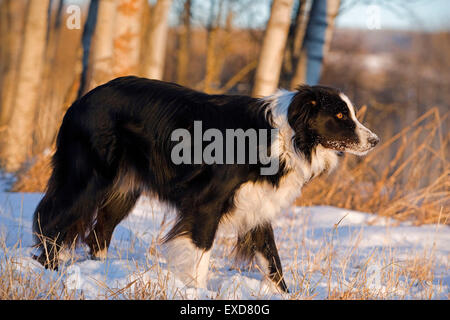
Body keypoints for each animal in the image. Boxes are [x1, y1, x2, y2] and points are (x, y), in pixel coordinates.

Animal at [31, 76, 378, 292]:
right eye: (340, 116)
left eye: (350, 114)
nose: (374, 141)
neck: (285, 135)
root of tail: (81, 100)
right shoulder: (206, 203)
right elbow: (200, 254)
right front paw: (195, 293)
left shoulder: (258, 206)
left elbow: (272, 260)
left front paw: (283, 293)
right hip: (87, 180)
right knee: (52, 220)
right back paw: (47, 270)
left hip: (123, 191)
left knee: (98, 233)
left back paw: (100, 273)